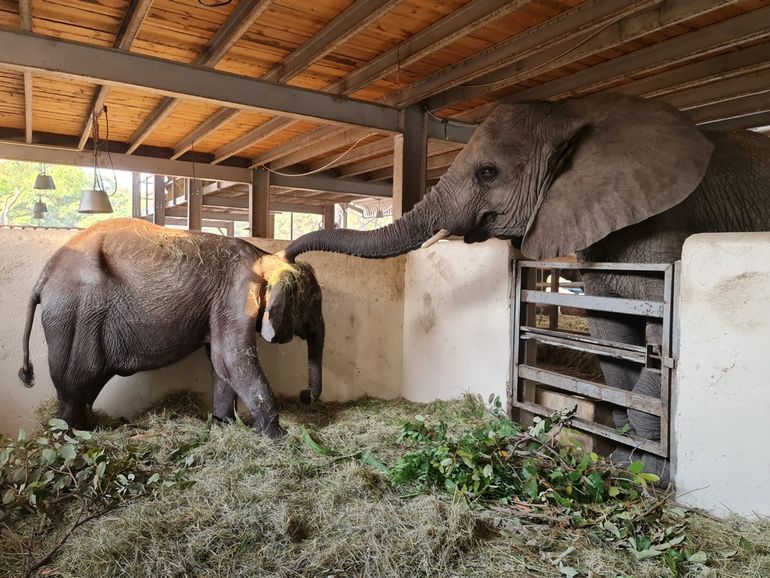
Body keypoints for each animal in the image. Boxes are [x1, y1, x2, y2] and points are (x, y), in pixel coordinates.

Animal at [17, 218, 324, 434]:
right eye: (313, 302)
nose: (305, 396)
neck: (265, 256)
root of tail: (42, 278)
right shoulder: (235, 294)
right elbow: (232, 358)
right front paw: (278, 437)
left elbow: (219, 362)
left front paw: (222, 425)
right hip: (76, 316)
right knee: (76, 385)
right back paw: (70, 438)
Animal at [284, 92, 768, 474]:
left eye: (487, 173)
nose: (290, 258)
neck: (577, 111)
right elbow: (610, 338)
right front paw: (622, 459)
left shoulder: (670, 229)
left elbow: (657, 340)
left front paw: (646, 470)